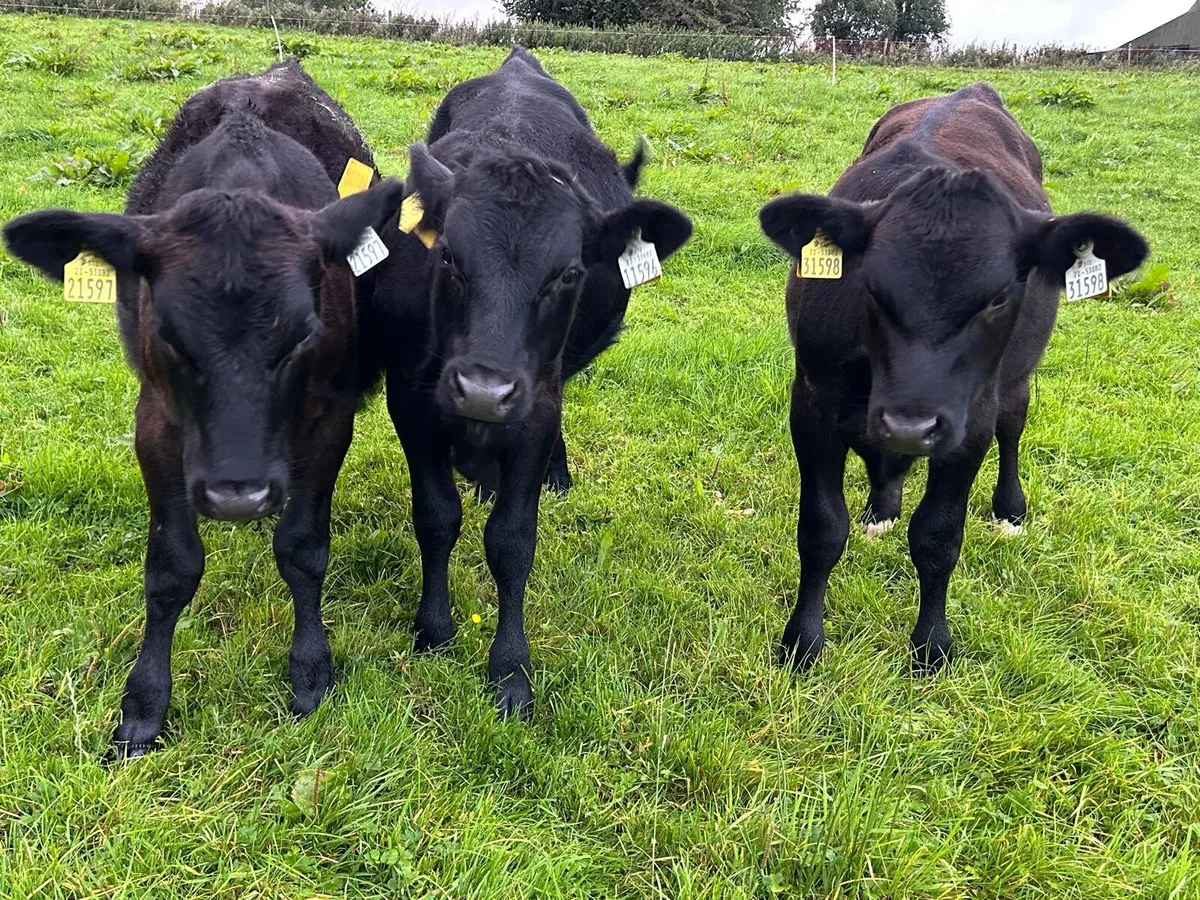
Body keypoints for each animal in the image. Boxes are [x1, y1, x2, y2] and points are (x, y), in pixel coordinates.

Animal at [3, 60, 403, 758]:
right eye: (167, 334)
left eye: (303, 333)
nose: (236, 495)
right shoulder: (156, 421)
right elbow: (171, 567)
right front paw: (143, 705)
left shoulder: (329, 418)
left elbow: (302, 546)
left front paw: (310, 671)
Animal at [367, 47, 693, 719]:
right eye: (448, 257)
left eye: (568, 273)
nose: (484, 391)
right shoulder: (409, 399)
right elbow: (435, 515)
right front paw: (434, 629)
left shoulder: (537, 405)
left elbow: (513, 540)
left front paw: (510, 669)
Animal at [758, 82, 1148, 673]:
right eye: (870, 286)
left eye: (998, 298)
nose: (909, 425)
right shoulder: (812, 404)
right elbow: (822, 530)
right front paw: (802, 642)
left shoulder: (969, 427)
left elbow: (938, 537)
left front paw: (931, 646)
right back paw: (882, 509)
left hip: (1009, 388)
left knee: (1014, 425)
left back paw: (1009, 508)